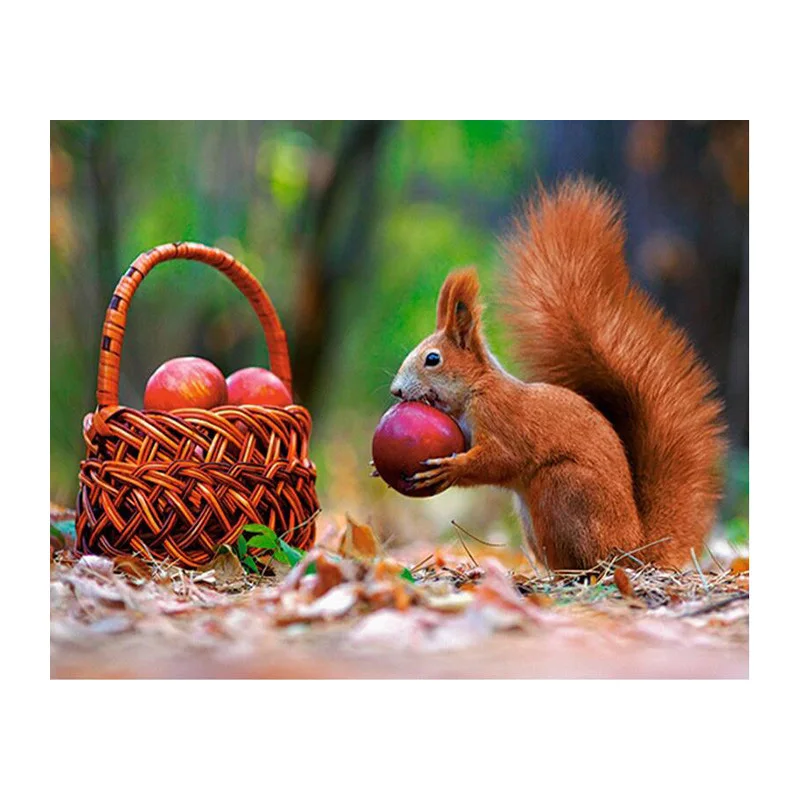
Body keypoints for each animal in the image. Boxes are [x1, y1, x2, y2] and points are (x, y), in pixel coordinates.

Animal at [389, 178, 726, 571]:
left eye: (432, 359)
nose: (396, 391)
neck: (476, 389)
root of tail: (634, 550)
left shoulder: (502, 417)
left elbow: (501, 459)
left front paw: (450, 470)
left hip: (562, 488)